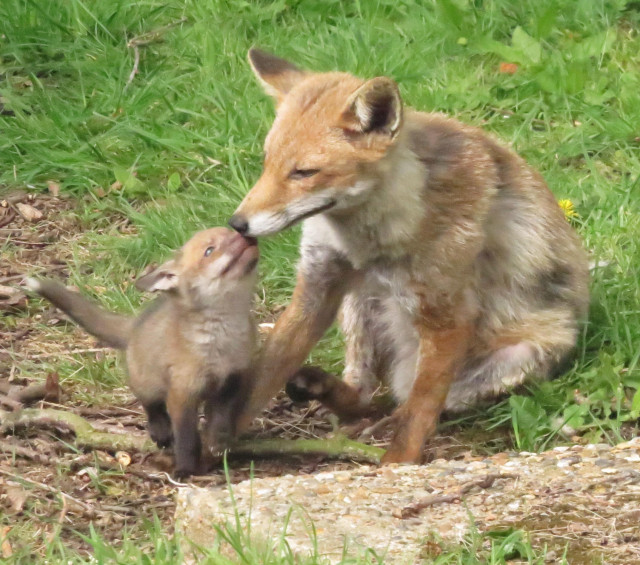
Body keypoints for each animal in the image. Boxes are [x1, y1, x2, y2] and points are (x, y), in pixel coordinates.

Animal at [26, 228, 259, 478]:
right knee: (150, 405)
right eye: (209, 250)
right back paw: (160, 431)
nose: (245, 233)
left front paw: (219, 441)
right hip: (146, 383)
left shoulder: (234, 378)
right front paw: (184, 469)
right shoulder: (181, 393)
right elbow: (186, 438)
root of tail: (134, 325)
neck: (222, 342)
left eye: (229, 232)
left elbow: (222, 418)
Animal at [226, 48, 590, 464]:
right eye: (266, 163)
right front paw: (213, 440)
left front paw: (397, 466)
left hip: (513, 358)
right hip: (360, 304)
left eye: (304, 172)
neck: (364, 238)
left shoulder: (446, 312)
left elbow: (420, 412)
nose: (237, 224)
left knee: (406, 401)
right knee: (364, 394)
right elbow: (263, 375)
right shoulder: (319, 282)